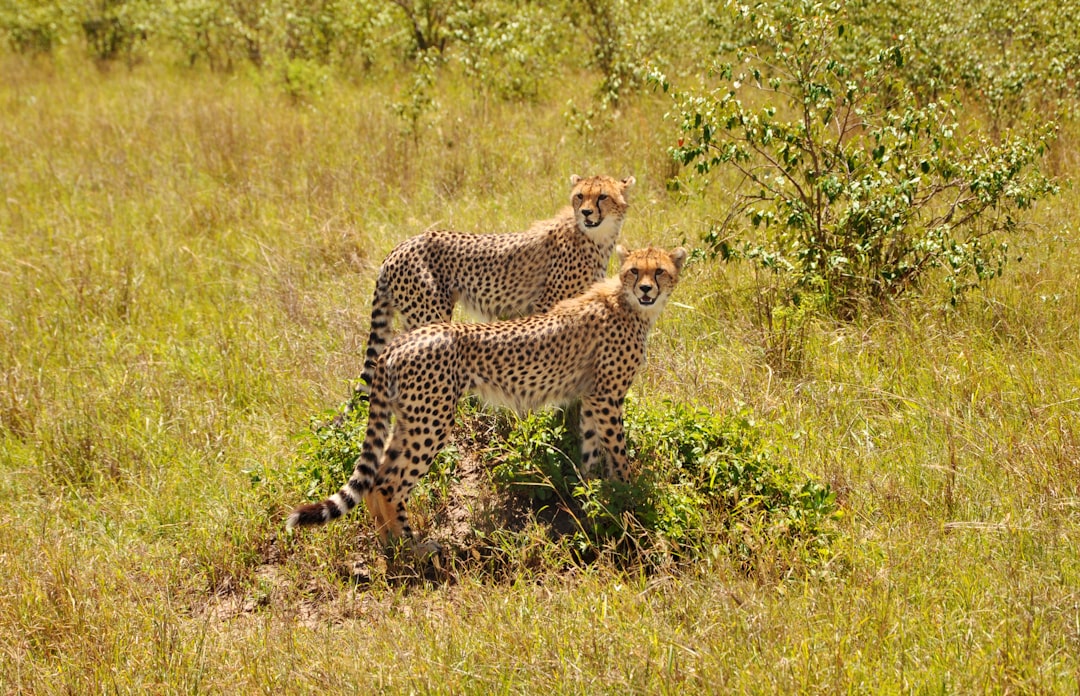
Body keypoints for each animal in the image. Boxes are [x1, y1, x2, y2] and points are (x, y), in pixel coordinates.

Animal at [287, 247, 686, 546]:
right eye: (634, 271)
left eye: (659, 271)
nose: (646, 289)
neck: (628, 304)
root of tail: (398, 343)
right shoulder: (607, 397)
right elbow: (618, 454)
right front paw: (628, 499)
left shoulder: (591, 398)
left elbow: (589, 451)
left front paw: (589, 501)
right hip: (432, 421)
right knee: (388, 483)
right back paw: (412, 549)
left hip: (411, 418)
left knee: (376, 477)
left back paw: (390, 546)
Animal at [349, 174, 630, 399]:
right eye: (580, 196)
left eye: (602, 196)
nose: (585, 212)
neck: (595, 238)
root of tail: (397, 248)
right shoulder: (548, 305)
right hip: (429, 314)